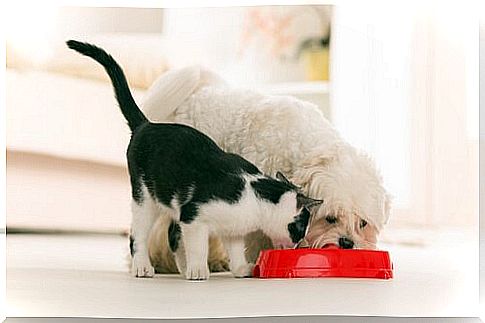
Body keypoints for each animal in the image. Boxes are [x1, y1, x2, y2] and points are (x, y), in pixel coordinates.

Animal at [65, 39, 322, 280]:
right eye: (301, 229)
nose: (299, 245)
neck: (254, 195)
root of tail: (146, 124)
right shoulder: (193, 216)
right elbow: (198, 246)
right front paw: (199, 269)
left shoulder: (232, 229)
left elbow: (235, 249)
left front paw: (241, 269)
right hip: (145, 198)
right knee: (138, 235)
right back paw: (144, 267)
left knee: (172, 235)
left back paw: (181, 267)